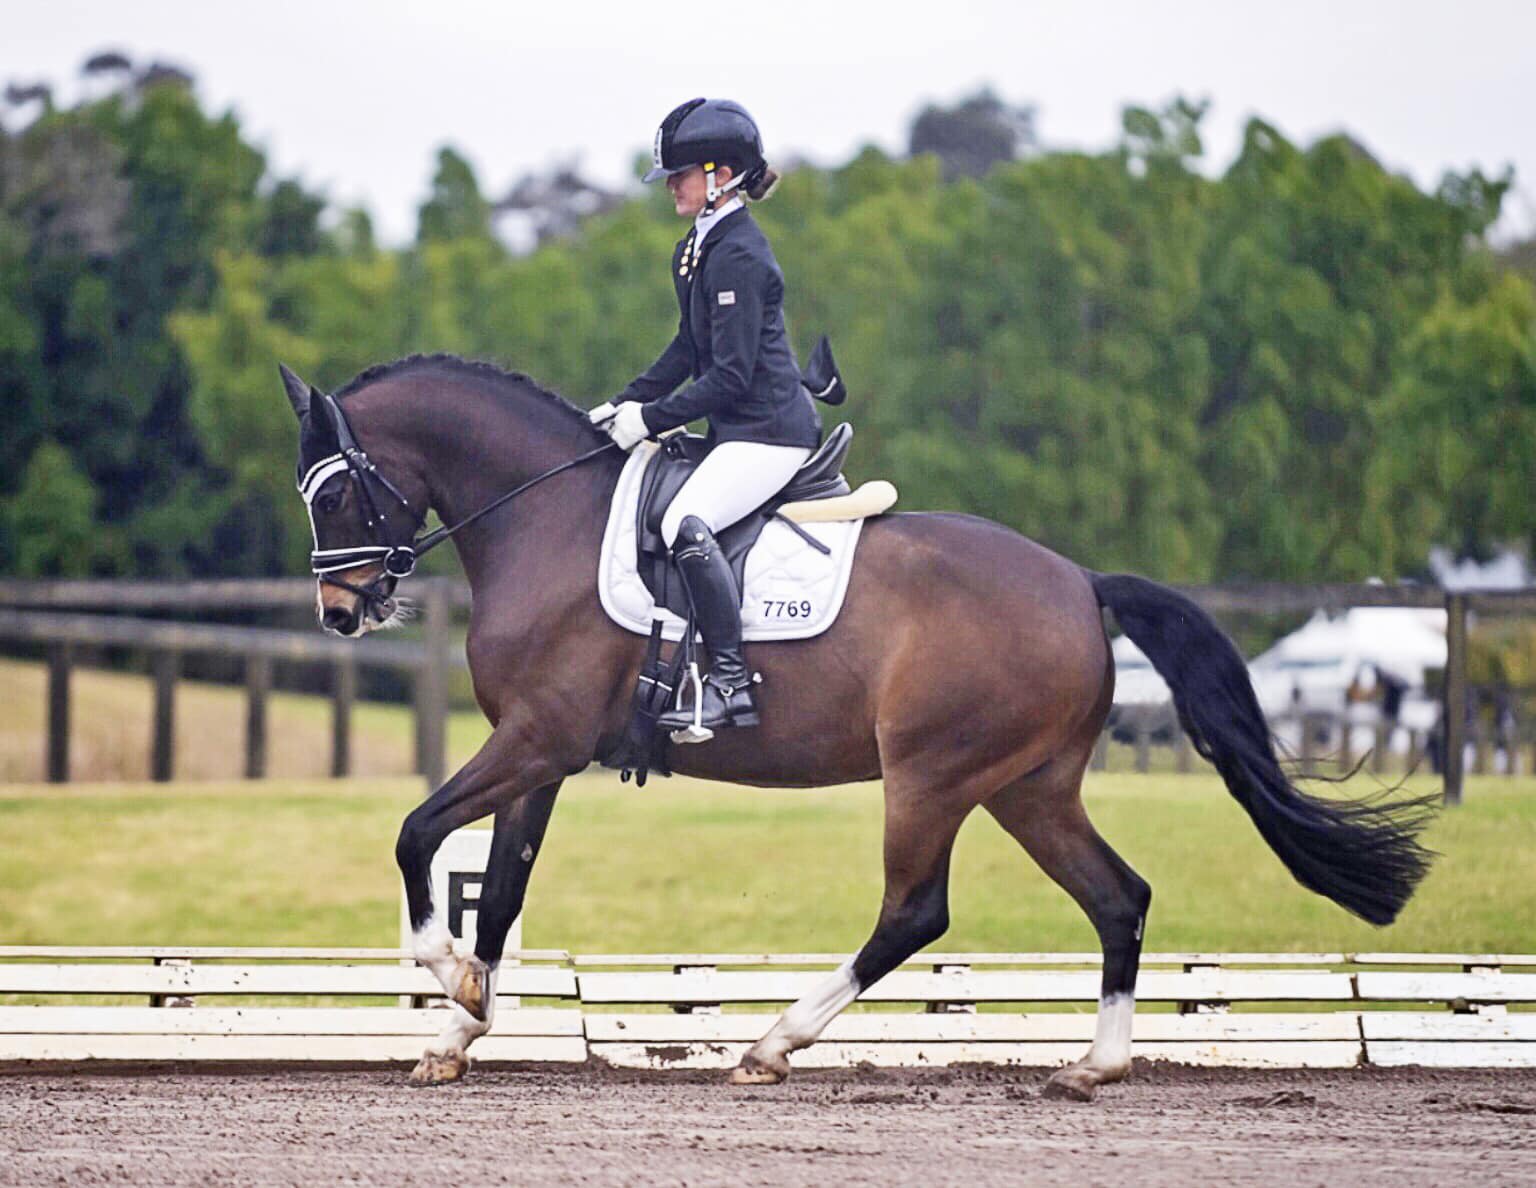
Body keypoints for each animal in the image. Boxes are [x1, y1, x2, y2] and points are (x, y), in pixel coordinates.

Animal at [282, 355, 1431, 1100]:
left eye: (333, 498)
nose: (339, 613)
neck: (544, 522)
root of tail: (1081, 582)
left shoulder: (537, 740)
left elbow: (418, 838)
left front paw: (449, 983)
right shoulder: (542, 758)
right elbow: (502, 889)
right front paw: (460, 1027)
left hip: (931, 776)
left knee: (915, 912)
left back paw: (771, 1046)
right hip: (1028, 787)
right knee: (1119, 897)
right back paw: (1094, 1066)